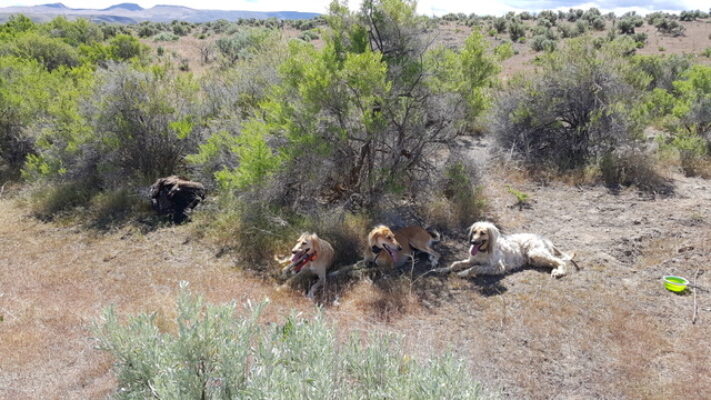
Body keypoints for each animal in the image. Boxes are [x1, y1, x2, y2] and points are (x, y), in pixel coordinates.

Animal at [436, 222, 580, 278]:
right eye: (474, 232)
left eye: (482, 233)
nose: (472, 242)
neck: (484, 251)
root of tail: (545, 239)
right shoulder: (473, 260)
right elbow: (456, 264)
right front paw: (442, 269)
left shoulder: (497, 267)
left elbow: (474, 268)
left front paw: (463, 273)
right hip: (535, 259)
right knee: (553, 262)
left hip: (535, 253)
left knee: (560, 261)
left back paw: (558, 272)